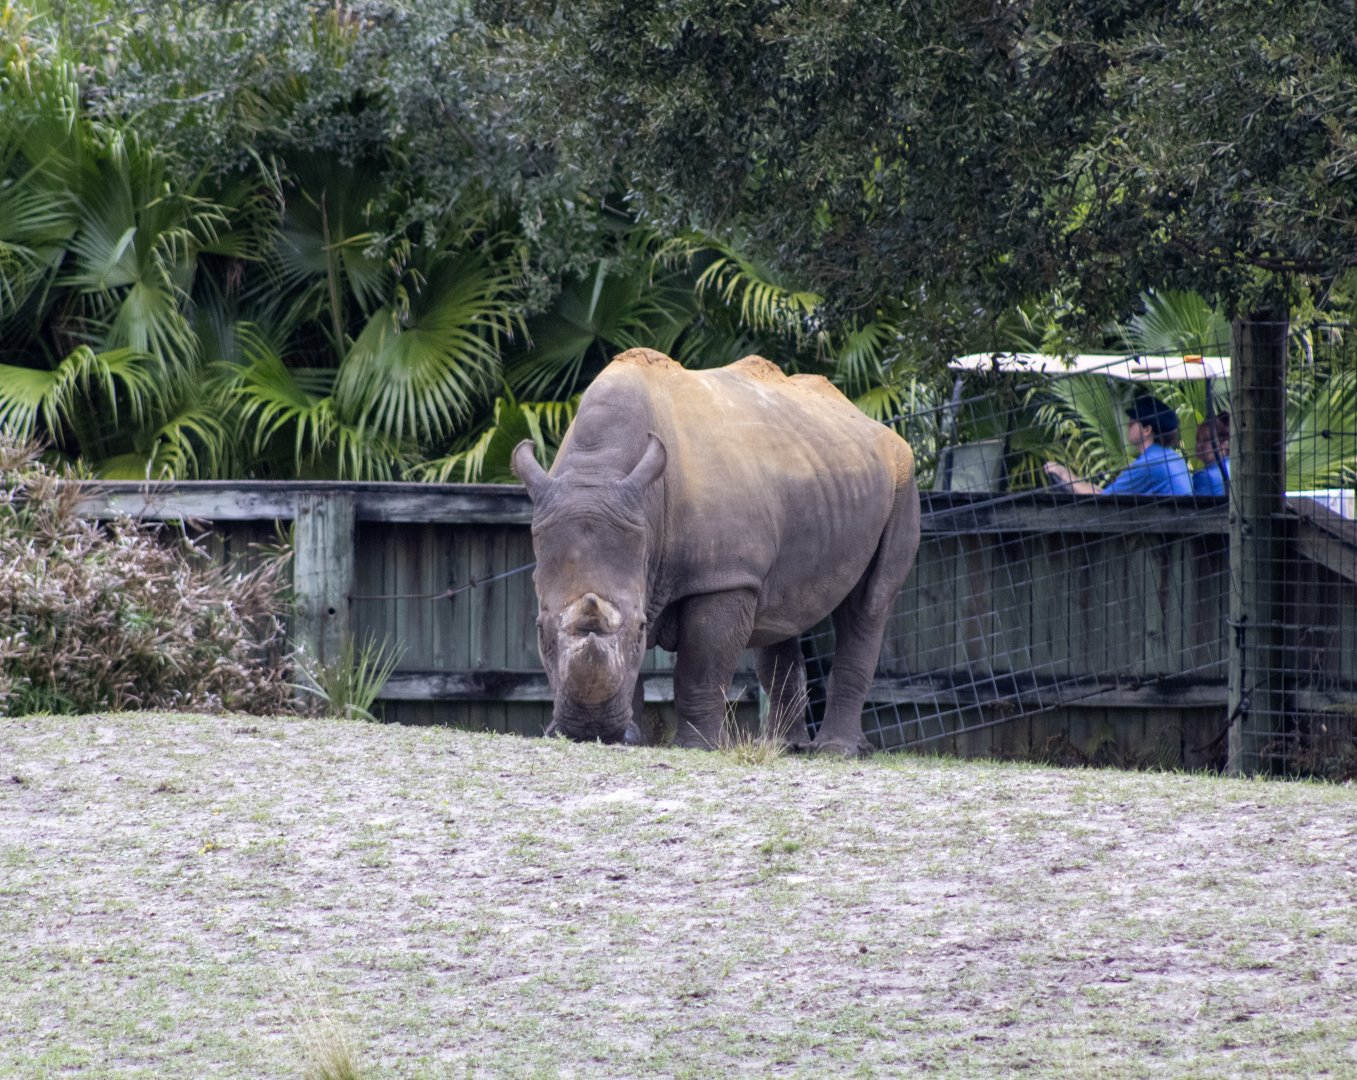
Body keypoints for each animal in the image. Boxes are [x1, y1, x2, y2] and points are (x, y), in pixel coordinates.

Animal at [511, 348, 920, 754]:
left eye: (642, 629)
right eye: (539, 630)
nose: (587, 729)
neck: (601, 472)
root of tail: (865, 418)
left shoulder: (723, 577)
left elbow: (700, 665)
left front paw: (697, 747)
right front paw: (628, 738)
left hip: (903, 476)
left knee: (868, 603)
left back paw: (836, 750)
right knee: (778, 613)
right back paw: (782, 747)